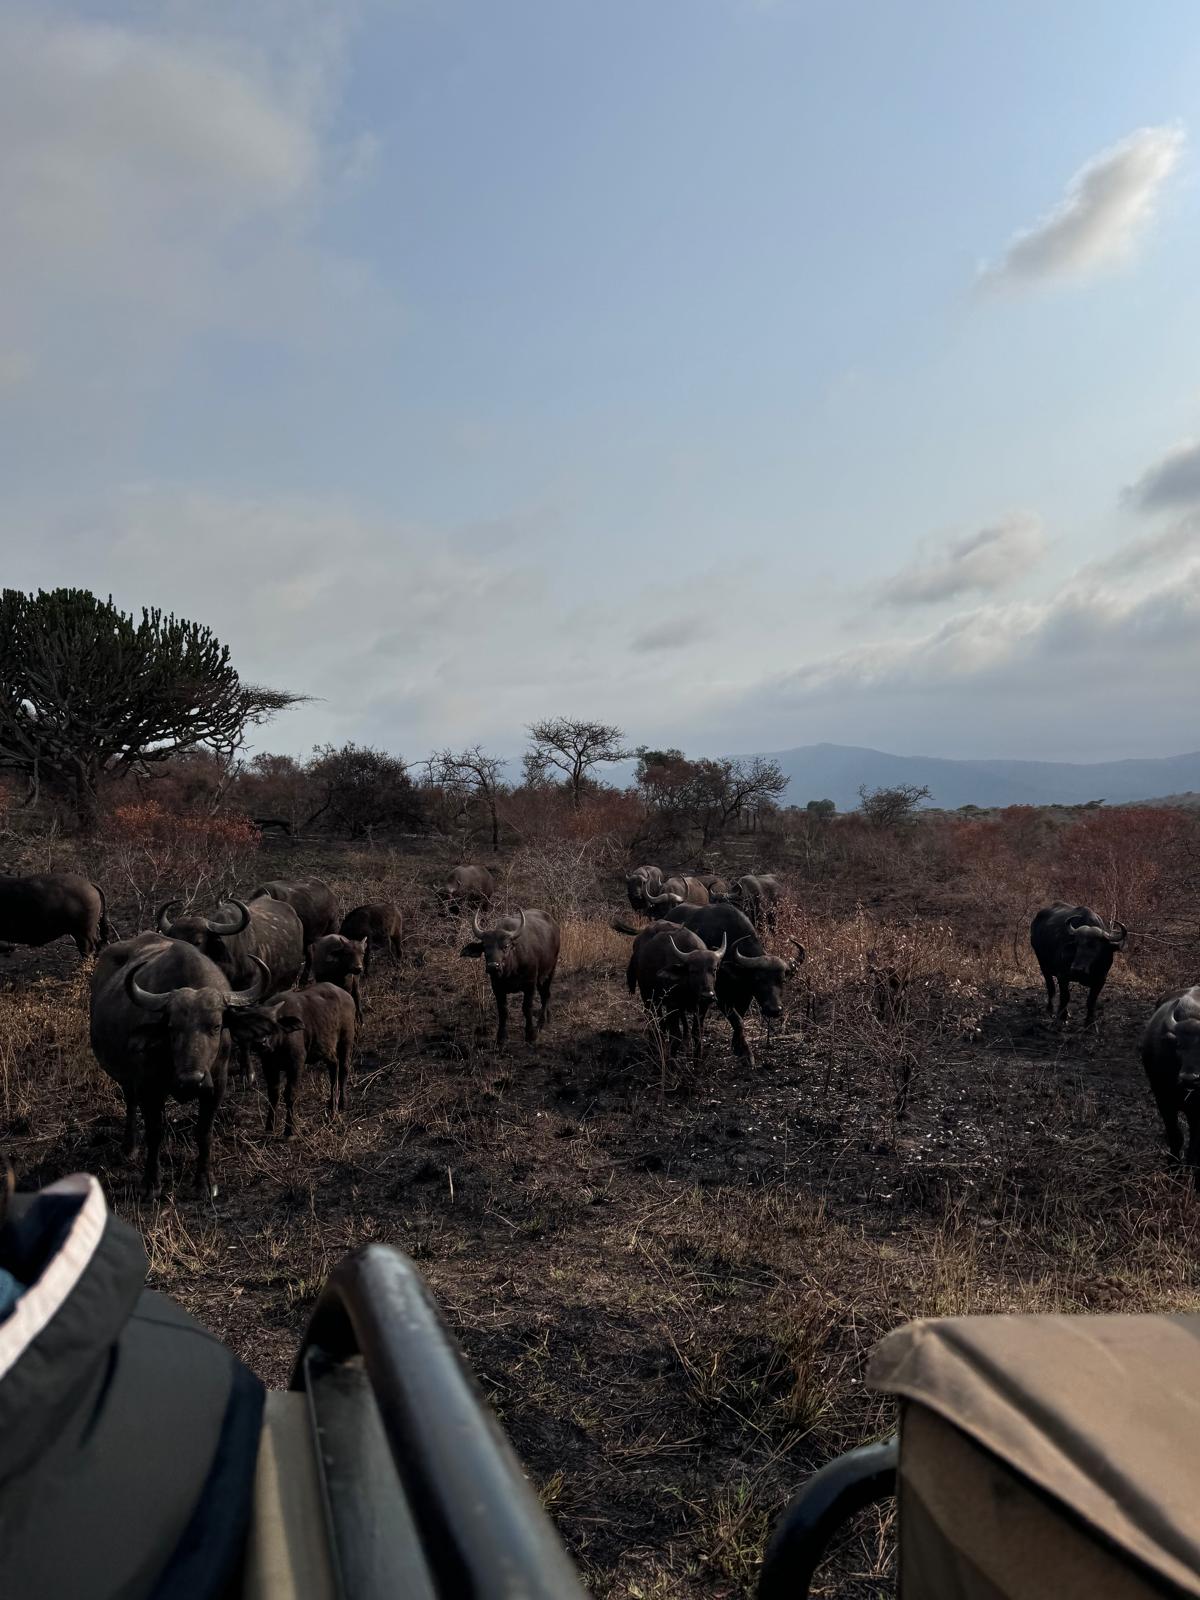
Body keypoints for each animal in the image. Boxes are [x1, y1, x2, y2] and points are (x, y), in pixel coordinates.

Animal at [90, 933, 287, 1196]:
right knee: (130, 1103)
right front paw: (151, 1183)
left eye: (216, 1026)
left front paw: (204, 1183)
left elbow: (204, 1132)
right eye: (172, 1028)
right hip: (126, 1076)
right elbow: (155, 1131)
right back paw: (129, 1147)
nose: (192, 1080)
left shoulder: (216, 1085)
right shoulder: (148, 1085)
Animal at [257, 982, 358, 1137]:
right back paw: (332, 1104)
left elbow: (291, 1093)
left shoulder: (296, 1063)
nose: (262, 1042)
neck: (279, 1043)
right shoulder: (268, 1065)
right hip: (327, 1047)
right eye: (256, 1024)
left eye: (273, 1025)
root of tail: (347, 996)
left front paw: (289, 1130)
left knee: (344, 1068)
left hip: (346, 1039)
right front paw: (269, 1128)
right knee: (334, 1066)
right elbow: (273, 1093)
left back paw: (342, 1103)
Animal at [459, 908, 560, 1046]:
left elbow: (527, 1007)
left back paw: (540, 1024)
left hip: (550, 970)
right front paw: (501, 1037)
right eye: (485, 947)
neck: (510, 971)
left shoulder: (530, 984)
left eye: (506, 946)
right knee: (545, 994)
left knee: (545, 995)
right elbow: (503, 1010)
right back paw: (548, 1017)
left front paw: (530, 1034)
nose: (493, 966)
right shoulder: (497, 987)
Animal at [626, 921, 727, 1059]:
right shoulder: (672, 1005)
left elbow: (697, 1033)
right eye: (693, 971)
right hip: (646, 994)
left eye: (714, 969)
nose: (708, 995)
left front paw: (697, 1058)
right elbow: (675, 1036)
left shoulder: (702, 1006)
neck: (689, 989)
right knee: (653, 1017)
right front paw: (672, 1059)